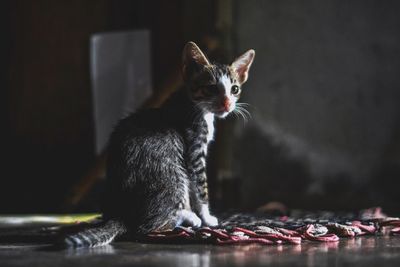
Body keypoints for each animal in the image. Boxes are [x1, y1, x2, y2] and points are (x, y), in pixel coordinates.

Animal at [63, 42, 256, 249]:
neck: (192, 103)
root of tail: (122, 214)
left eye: (234, 89)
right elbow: (200, 187)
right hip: (174, 173)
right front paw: (207, 217)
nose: (227, 104)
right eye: (211, 88)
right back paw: (189, 218)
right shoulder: (195, 149)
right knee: (149, 225)